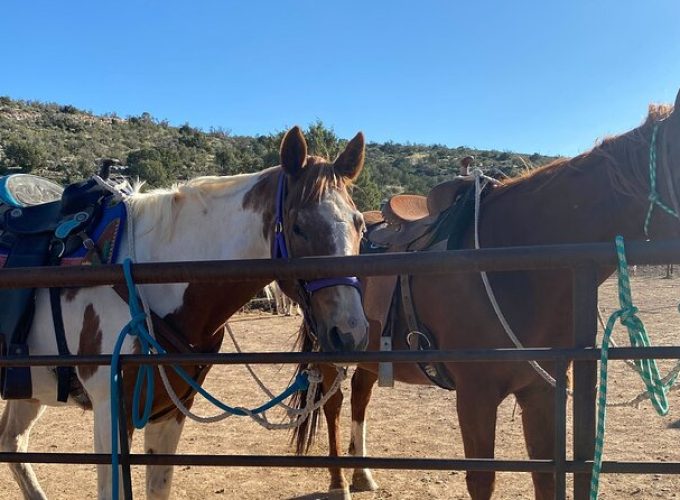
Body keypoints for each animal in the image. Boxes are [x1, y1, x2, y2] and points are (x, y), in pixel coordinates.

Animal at [1, 126, 372, 500]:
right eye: (298, 227)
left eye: (360, 225)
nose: (350, 332)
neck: (150, 277)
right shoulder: (110, 410)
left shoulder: (170, 410)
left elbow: (158, 487)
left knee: (12, 442)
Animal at [294, 91, 680, 500]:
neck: (517, 262)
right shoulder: (475, 395)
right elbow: (482, 479)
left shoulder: (540, 392)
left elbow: (546, 477)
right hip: (331, 347)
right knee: (333, 404)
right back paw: (338, 481)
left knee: (360, 395)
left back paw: (363, 473)